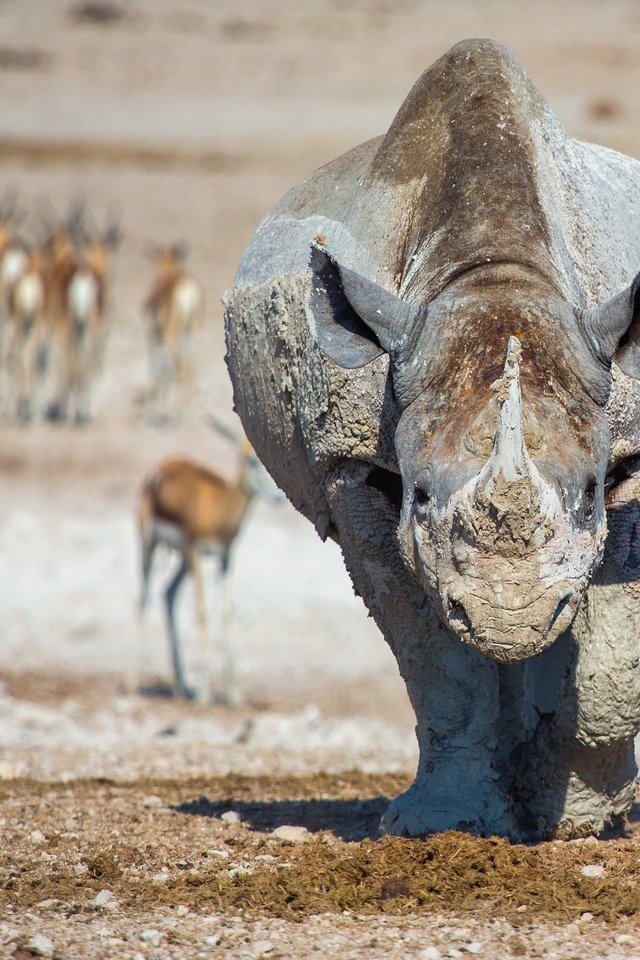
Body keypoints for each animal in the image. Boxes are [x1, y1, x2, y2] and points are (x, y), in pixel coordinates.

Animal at [136, 420, 282, 704]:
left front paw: (233, 694)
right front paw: (204, 693)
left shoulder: (226, 558)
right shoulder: (196, 551)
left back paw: (181, 687)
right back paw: (133, 683)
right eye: (251, 460)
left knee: (168, 593)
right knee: (143, 595)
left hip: (182, 559)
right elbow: (202, 611)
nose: (279, 497)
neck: (219, 508)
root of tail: (159, 469)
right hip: (151, 545)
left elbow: (226, 612)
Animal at [144, 242, 205, 414]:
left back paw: (176, 405)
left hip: (172, 334)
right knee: (191, 357)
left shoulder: (152, 334)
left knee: (175, 358)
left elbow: (155, 362)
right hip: (192, 329)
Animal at [224, 37, 640, 836]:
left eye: (590, 494)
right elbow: (431, 651)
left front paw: (574, 817)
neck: (496, 277)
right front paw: (444, 825)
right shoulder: (351, 462)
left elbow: (610, 648)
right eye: (418, 494)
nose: (509, 620)